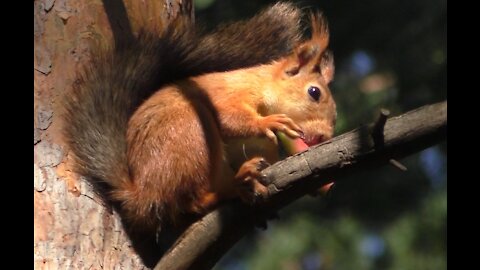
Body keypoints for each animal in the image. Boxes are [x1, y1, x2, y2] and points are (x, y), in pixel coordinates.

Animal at [62, 2, 336, 239]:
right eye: (314, 92)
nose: (324, 136)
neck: (261, 86)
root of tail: (141, 194)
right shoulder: (227, 95)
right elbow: (228, 117)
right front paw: (268, 123)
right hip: (192, 134)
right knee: (192, 202)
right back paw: (236, 184)